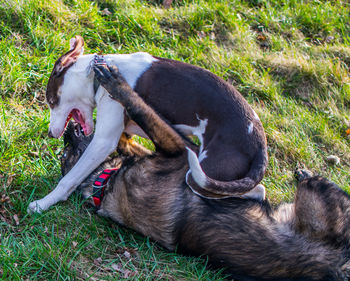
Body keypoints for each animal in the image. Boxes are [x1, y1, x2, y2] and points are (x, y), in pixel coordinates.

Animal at [28, 36, 268, 213]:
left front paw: (44, 203)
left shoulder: (103, 142)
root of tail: (260, 146)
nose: (50, 134)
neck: (96, 74)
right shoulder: (127, 132)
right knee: (256, 190)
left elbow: (69, 179)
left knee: (253, 190)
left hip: (200, 175)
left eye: (51, 101)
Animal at [60, 65, 350, 280]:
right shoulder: (178, 149)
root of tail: (337, 268)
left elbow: (129, 130)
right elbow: (142, 109)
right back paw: (303, 174)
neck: (105, 183)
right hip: (314, 194)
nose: (67, 131)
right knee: (316, 185)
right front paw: (117, 83)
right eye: (66, 156)